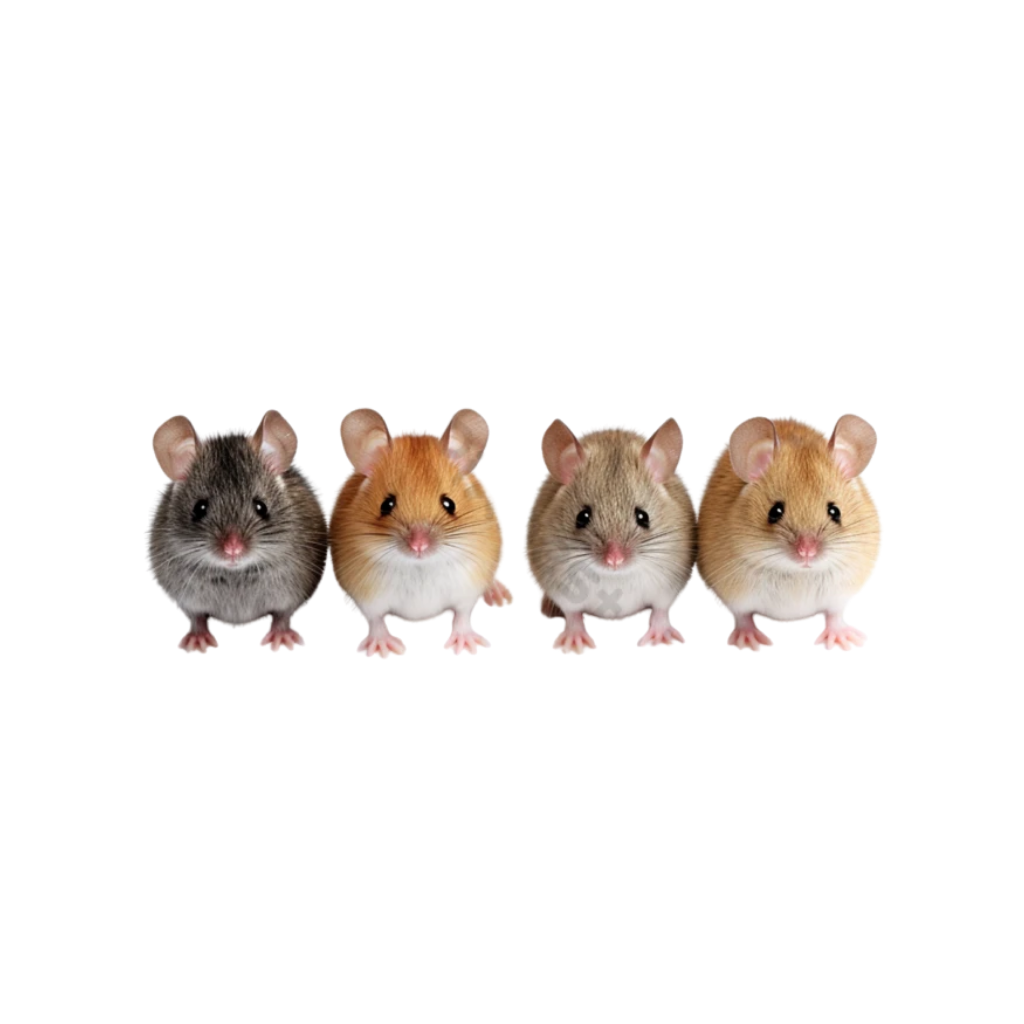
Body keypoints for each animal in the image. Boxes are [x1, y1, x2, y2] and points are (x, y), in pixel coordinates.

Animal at [149, 411, 328, 652]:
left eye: (261, 507)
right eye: (199, 508)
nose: (232, 549)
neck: (236, 573)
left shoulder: (291, 595)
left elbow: (282, 616)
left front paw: (281, 639)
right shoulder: (188, 600)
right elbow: (197, 618)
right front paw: (197, 642)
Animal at [329, 408, 511, 657]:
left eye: (449, 504)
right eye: (386, 505)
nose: (419, 545)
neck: (419, 566)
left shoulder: (468, 587)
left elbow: (463, 615)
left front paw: (466, 645)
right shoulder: (367, 595)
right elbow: (376, 620)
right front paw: (383, 648)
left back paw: (498, 593)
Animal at [527, 419, 696, 652]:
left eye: (643, 517)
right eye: (582, 517)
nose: (614, 560)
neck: (615, 577)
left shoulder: (667, 588)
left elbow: (660, 611)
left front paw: (661, 637)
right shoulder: (562, 590)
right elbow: (573, 615)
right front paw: (573, 641)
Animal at [697, 415, 880, 650]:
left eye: (835, 511)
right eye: (774, 512)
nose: (807, 552)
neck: (797, 572)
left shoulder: (841, 593)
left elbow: (835, 615)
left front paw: (843, 640)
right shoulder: (734, 595)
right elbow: (743, 617)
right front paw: (749, 641)